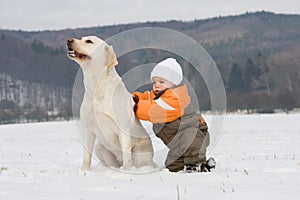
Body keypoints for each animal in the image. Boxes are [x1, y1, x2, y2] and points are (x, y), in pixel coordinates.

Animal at [66, 36, 154, 172]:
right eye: (82, 38)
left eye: (89, 41)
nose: (68, 40)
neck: (97, 87)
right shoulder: (87, 127)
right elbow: (86, 156)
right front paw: (84, 172)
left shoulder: (123, 128)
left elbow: (127, 157)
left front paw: (126, 172)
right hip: (100, 148)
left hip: (140, 153)